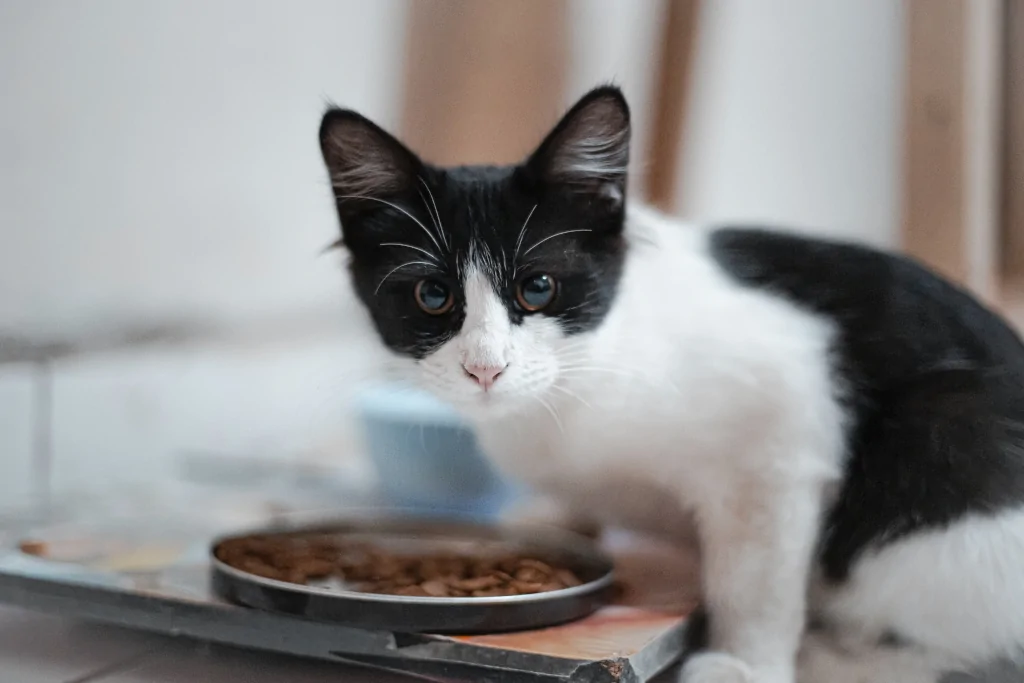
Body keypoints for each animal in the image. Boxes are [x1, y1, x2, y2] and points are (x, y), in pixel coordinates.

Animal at [315, 87, 1024, 683]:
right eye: (433, 296)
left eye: (538, 287)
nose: (485, 368)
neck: (583, 378)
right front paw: (555, 513)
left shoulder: (779, 443)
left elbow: (755, 578)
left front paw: (747, 664)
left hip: (944, 443)